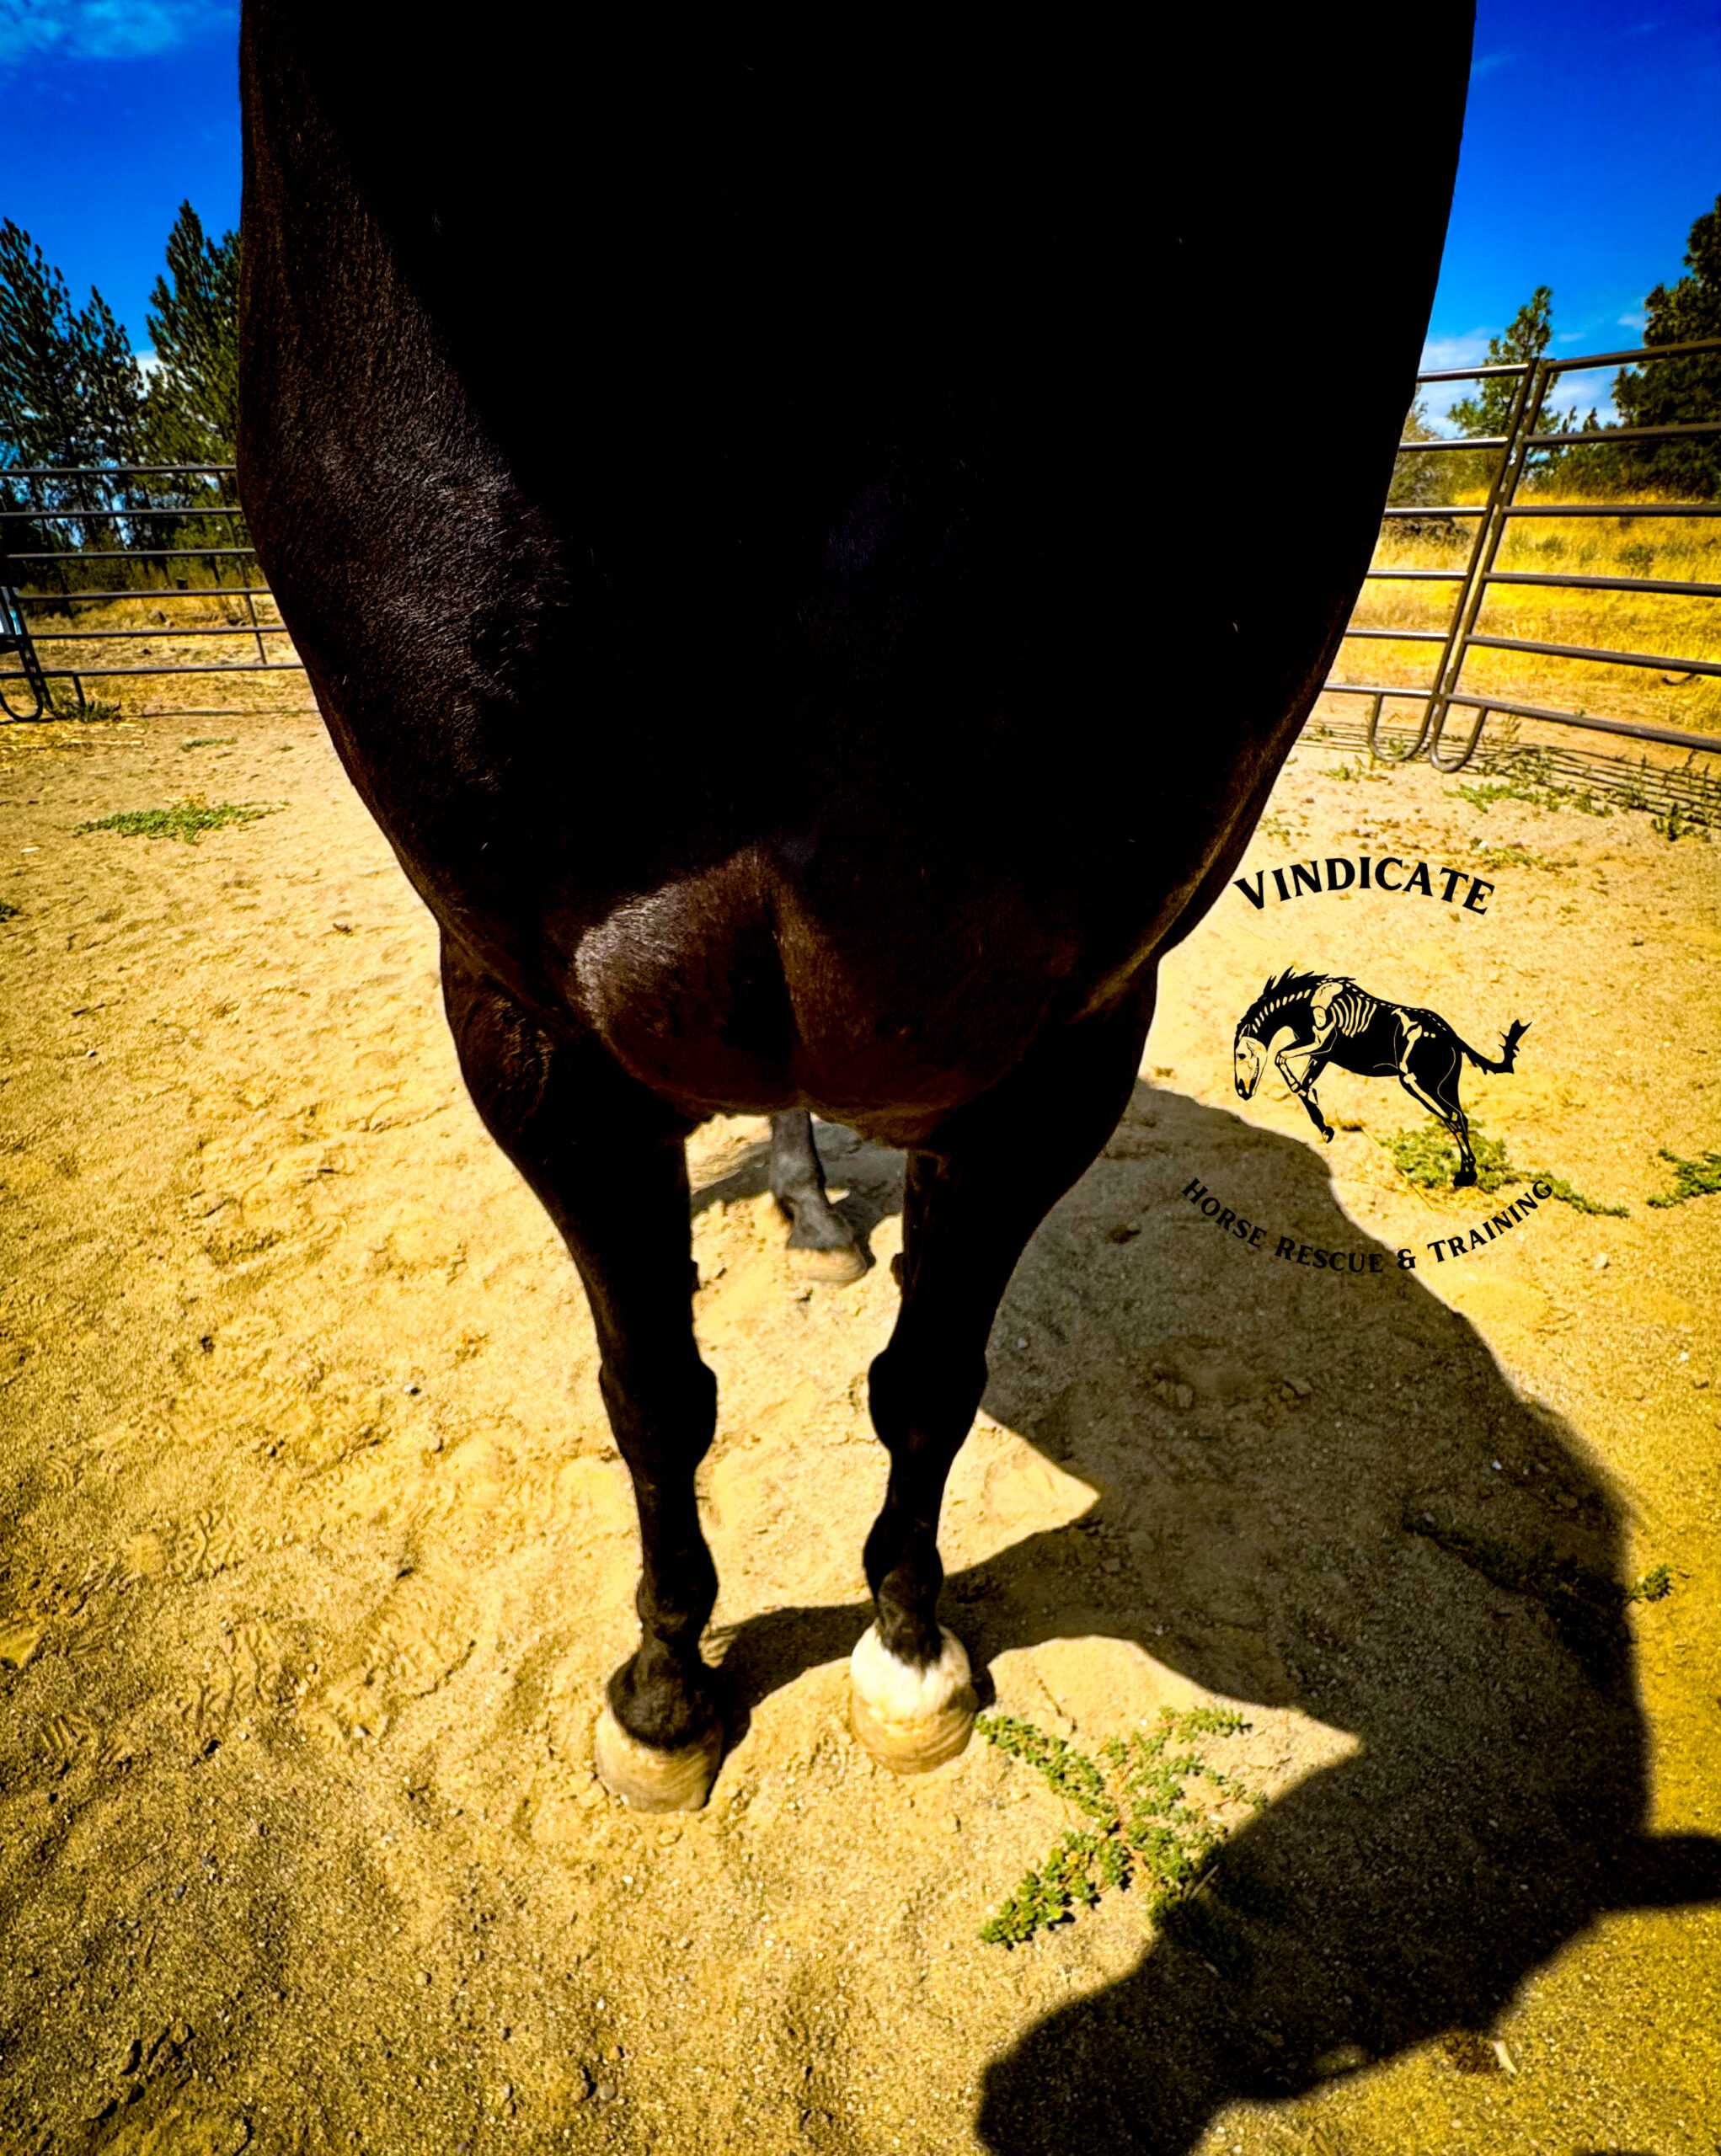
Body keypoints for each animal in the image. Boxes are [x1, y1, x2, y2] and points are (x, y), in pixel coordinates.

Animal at [237, 7, 1474, 1811]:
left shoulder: (1056, 1042)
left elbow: (930, 1384)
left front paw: (905, 1650)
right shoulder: (529, 1028)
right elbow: (654, 1397)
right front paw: (665, 1693)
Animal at [1233, 968, 1529, 1185]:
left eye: (1241, 1055)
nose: (1242, 1091)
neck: (1302, 1003)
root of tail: (1450, 1035)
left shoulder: (1322, 1043)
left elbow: (1281, 1058)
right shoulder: (1322, 1054)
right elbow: (1303, 1086)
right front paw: (1325, 1128)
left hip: (1415, 1083)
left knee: (1453, 1118)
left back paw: (1465, 1176)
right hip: (1444, 1086)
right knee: (1461, 1117)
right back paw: (1468, 1171)